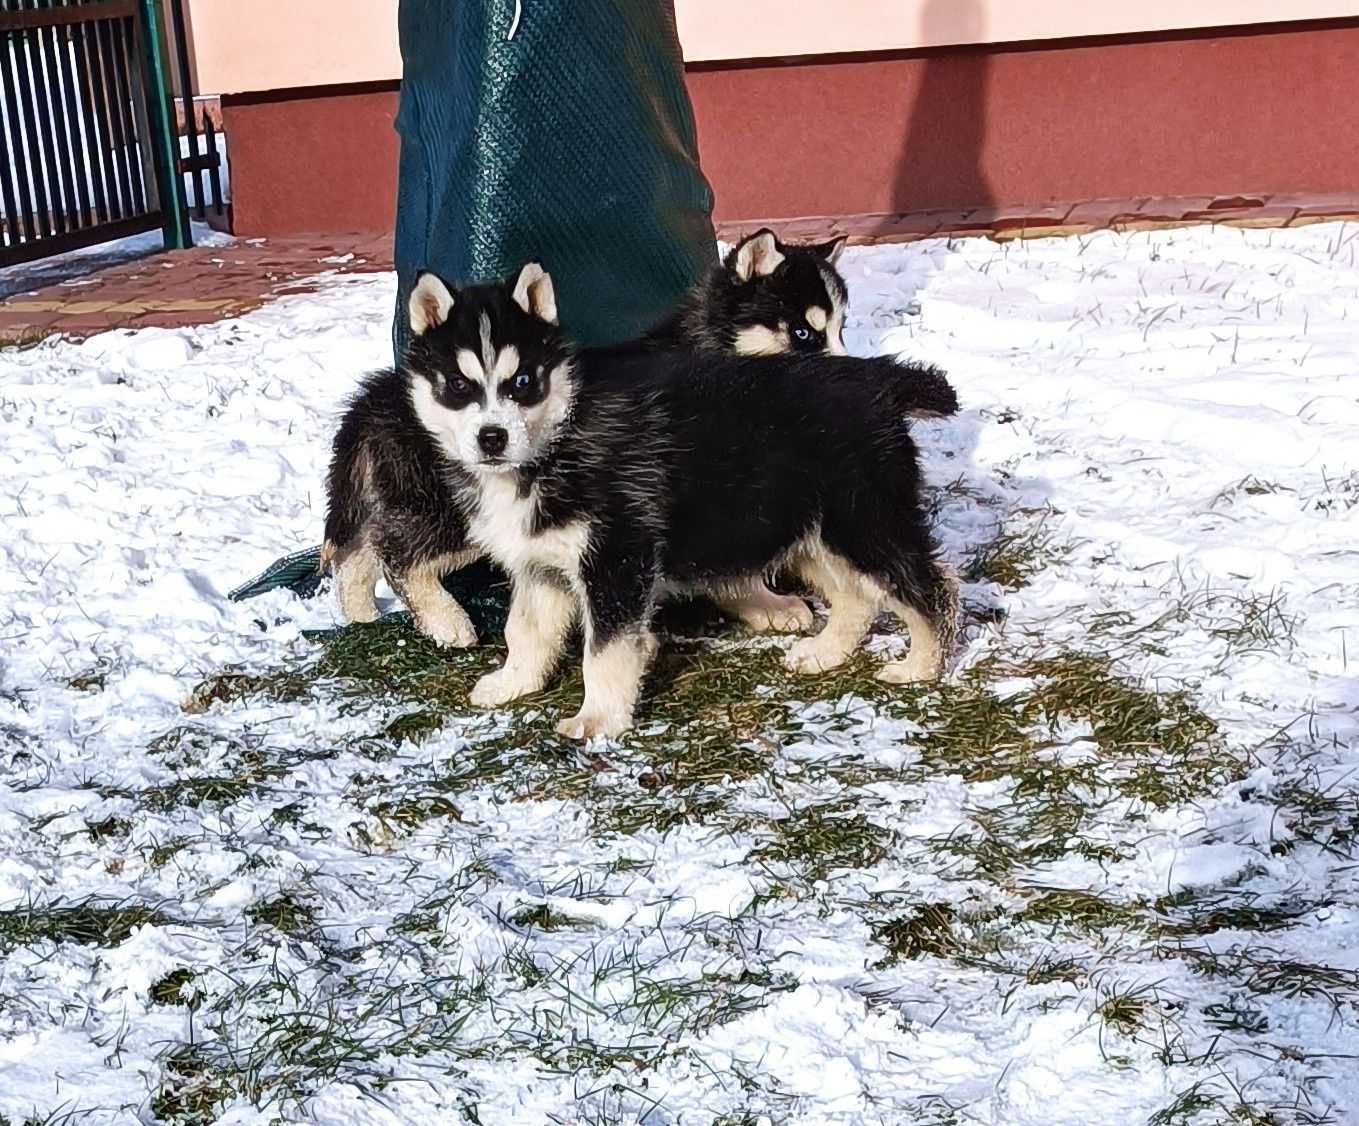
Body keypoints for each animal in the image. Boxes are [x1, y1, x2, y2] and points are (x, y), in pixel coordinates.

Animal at [385, 263, 967, 738]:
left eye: (523, 381)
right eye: (458, 385)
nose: (492, 437)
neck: (560, 437)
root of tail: (877, 380)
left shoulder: (617, 559)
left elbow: (604, 650)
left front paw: (598, 720)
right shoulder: (541, 564)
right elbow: (524, 630)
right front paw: (514, 682)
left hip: (860, 521)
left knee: (932, 588)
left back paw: (921, 667)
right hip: (805, 528)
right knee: (857, 596)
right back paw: (824, 654)